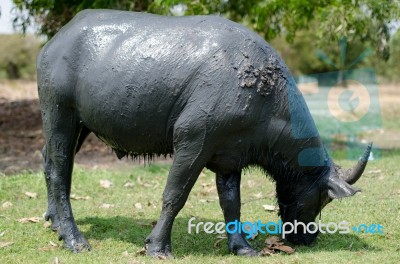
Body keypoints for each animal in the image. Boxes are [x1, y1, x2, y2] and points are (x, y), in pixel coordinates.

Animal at [38, 10, 372, 258]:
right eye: (323, 199)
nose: (308, 238)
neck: (263, 92)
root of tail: (55, 41)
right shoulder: (193, 143)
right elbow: (175, 195)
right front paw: (157, 246)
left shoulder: (230, 158)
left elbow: (231, 202)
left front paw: (242, 247)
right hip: (58, 113)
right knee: (59, 171)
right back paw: (74, 238)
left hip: (80, 125)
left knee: (49, 160)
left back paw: (53, 221)